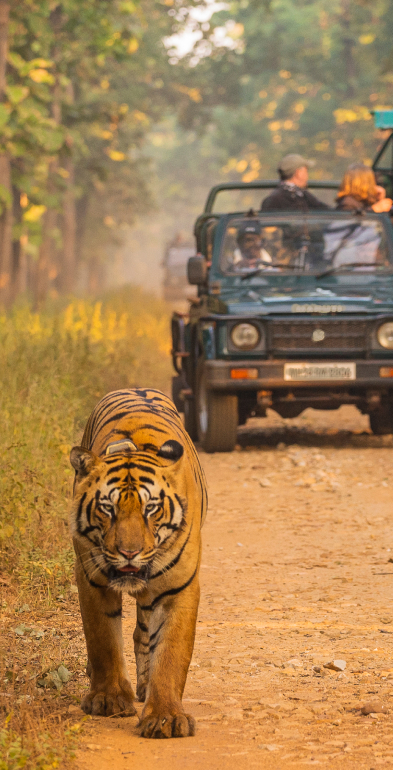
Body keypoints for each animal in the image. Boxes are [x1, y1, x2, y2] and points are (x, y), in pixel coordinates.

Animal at [69, 390, 207, 736]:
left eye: (151, 508)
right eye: (108, 508)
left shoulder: (178, 588)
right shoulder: (91, 579)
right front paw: (108, 699)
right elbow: (102, 640)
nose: (129, 552)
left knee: (144, 634)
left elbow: (171, 652)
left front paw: (166, 717)